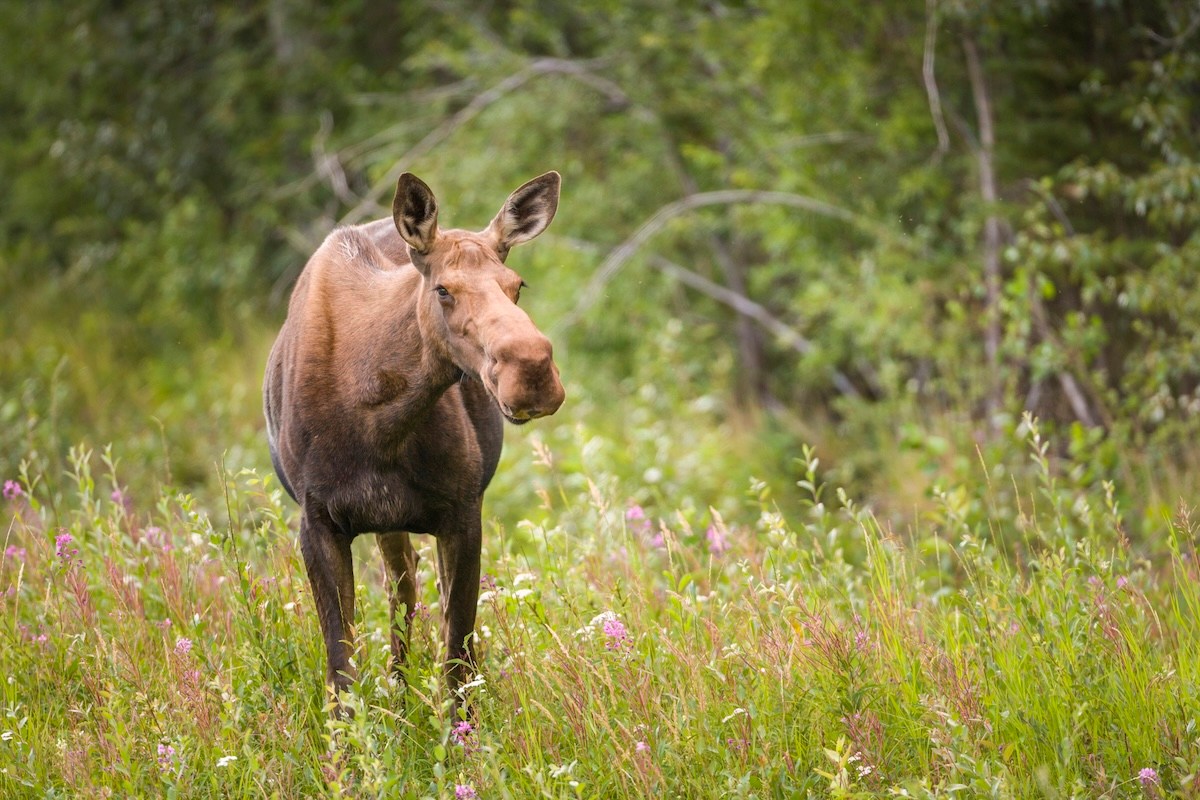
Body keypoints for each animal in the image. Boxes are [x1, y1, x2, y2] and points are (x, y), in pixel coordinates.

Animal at [263, 171, 565, 704]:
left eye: (517, 285)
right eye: (443, 289)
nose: (532, 371)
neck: (381, 424)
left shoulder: (463, 510)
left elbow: (457, 657)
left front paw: (461, 729)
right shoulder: (316, 520)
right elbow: (341, 672)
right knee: (400, 587)